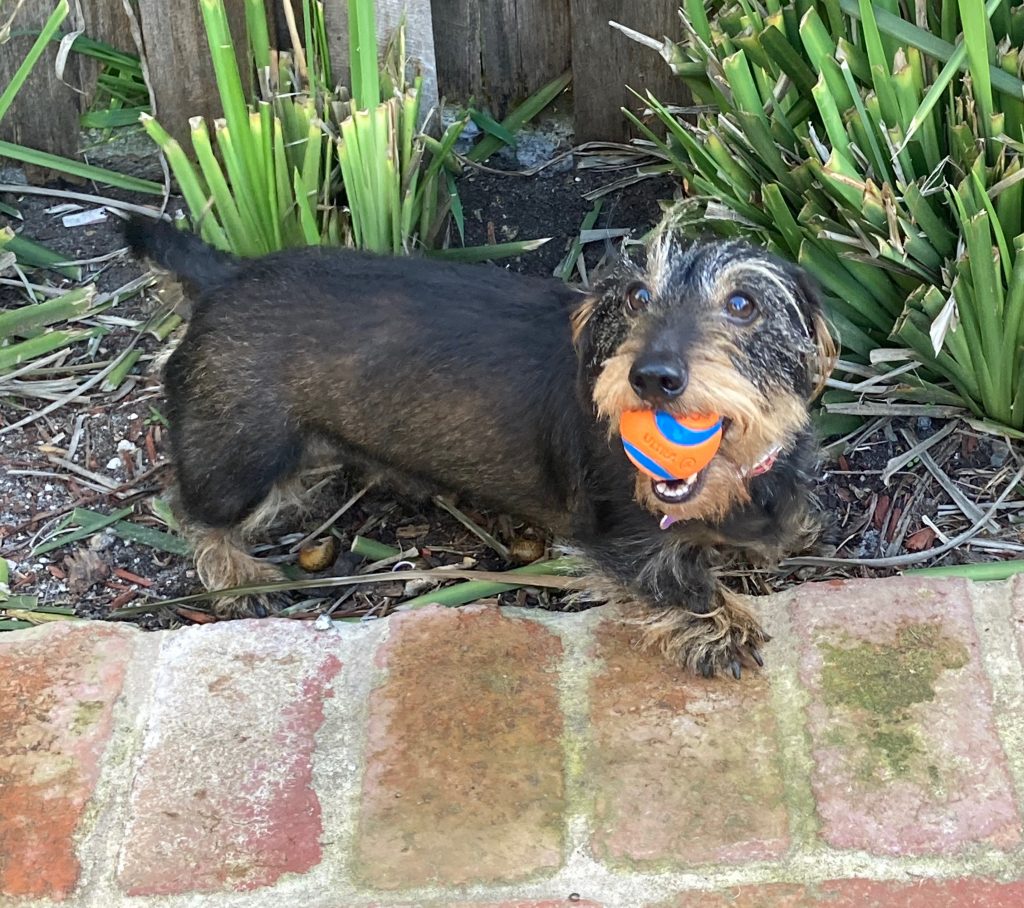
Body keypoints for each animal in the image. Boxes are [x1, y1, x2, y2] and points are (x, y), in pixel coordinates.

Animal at [125, 217, 831, 679]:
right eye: (636, 296)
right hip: (241, 455)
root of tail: (229, 275)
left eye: (743, 303)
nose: (653, 377)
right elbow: (678, 582)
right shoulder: (621, 535)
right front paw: (723, 629)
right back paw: (237, 577)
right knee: (193, 512)